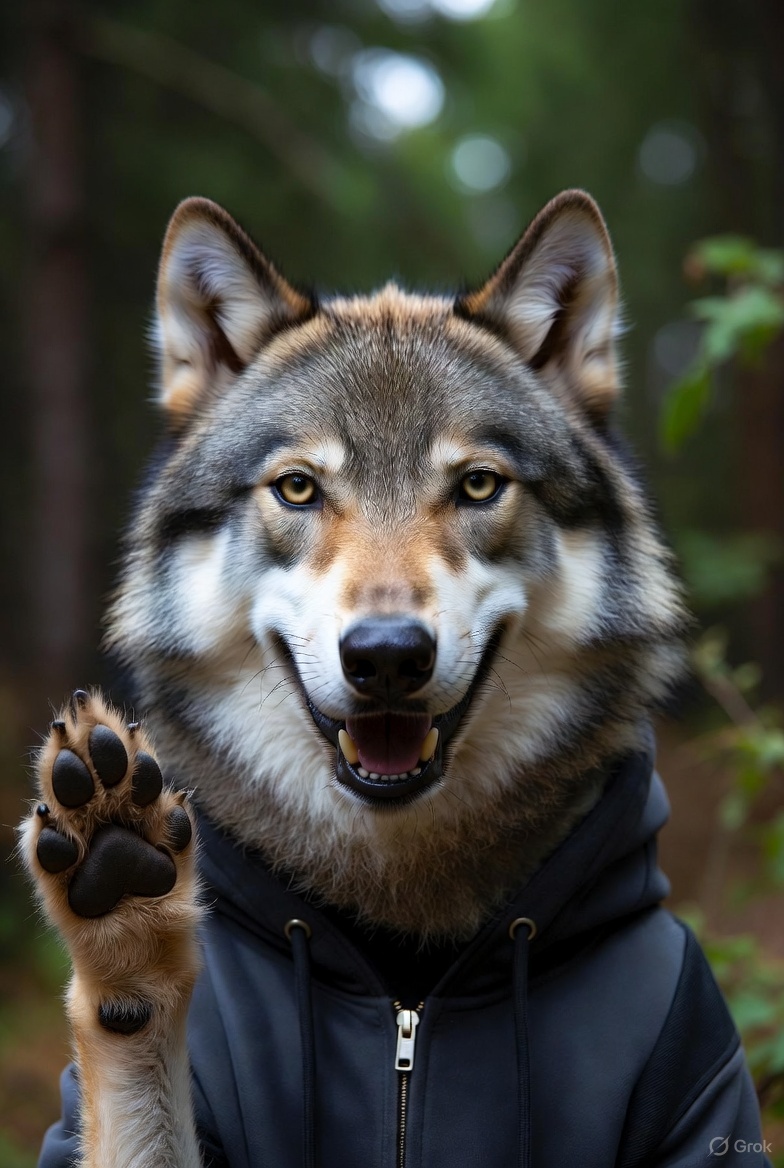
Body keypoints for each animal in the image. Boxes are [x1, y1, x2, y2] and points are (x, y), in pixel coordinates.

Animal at [22, 190, 767, 1168]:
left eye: (479, 485)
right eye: (298, 489)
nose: (385, 655)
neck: (406, 983)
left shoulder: (695, 1063)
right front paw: (125, 917)